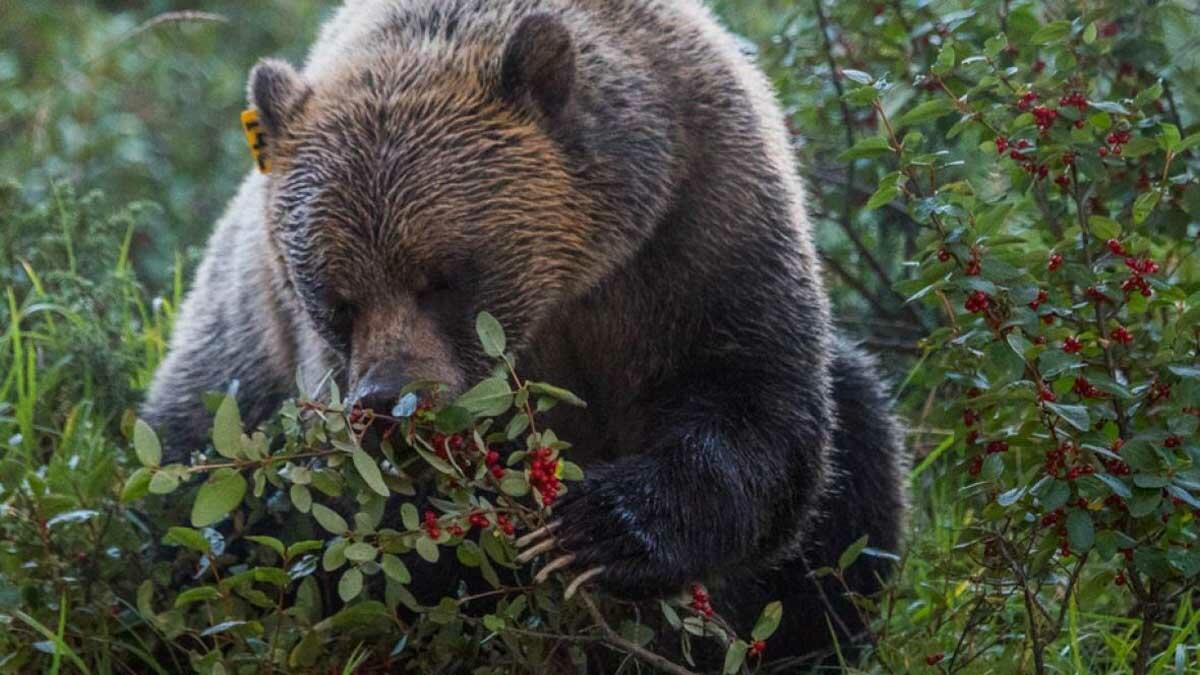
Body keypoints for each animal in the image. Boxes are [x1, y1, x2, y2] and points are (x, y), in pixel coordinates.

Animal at [142, 0, 907, 662]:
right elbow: (404, 544)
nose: (388, 402)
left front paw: (593, 529)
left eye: (443, 277)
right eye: (335, 299)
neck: (571, 284)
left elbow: (756, 404)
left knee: (859, 447)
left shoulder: (698, 223)